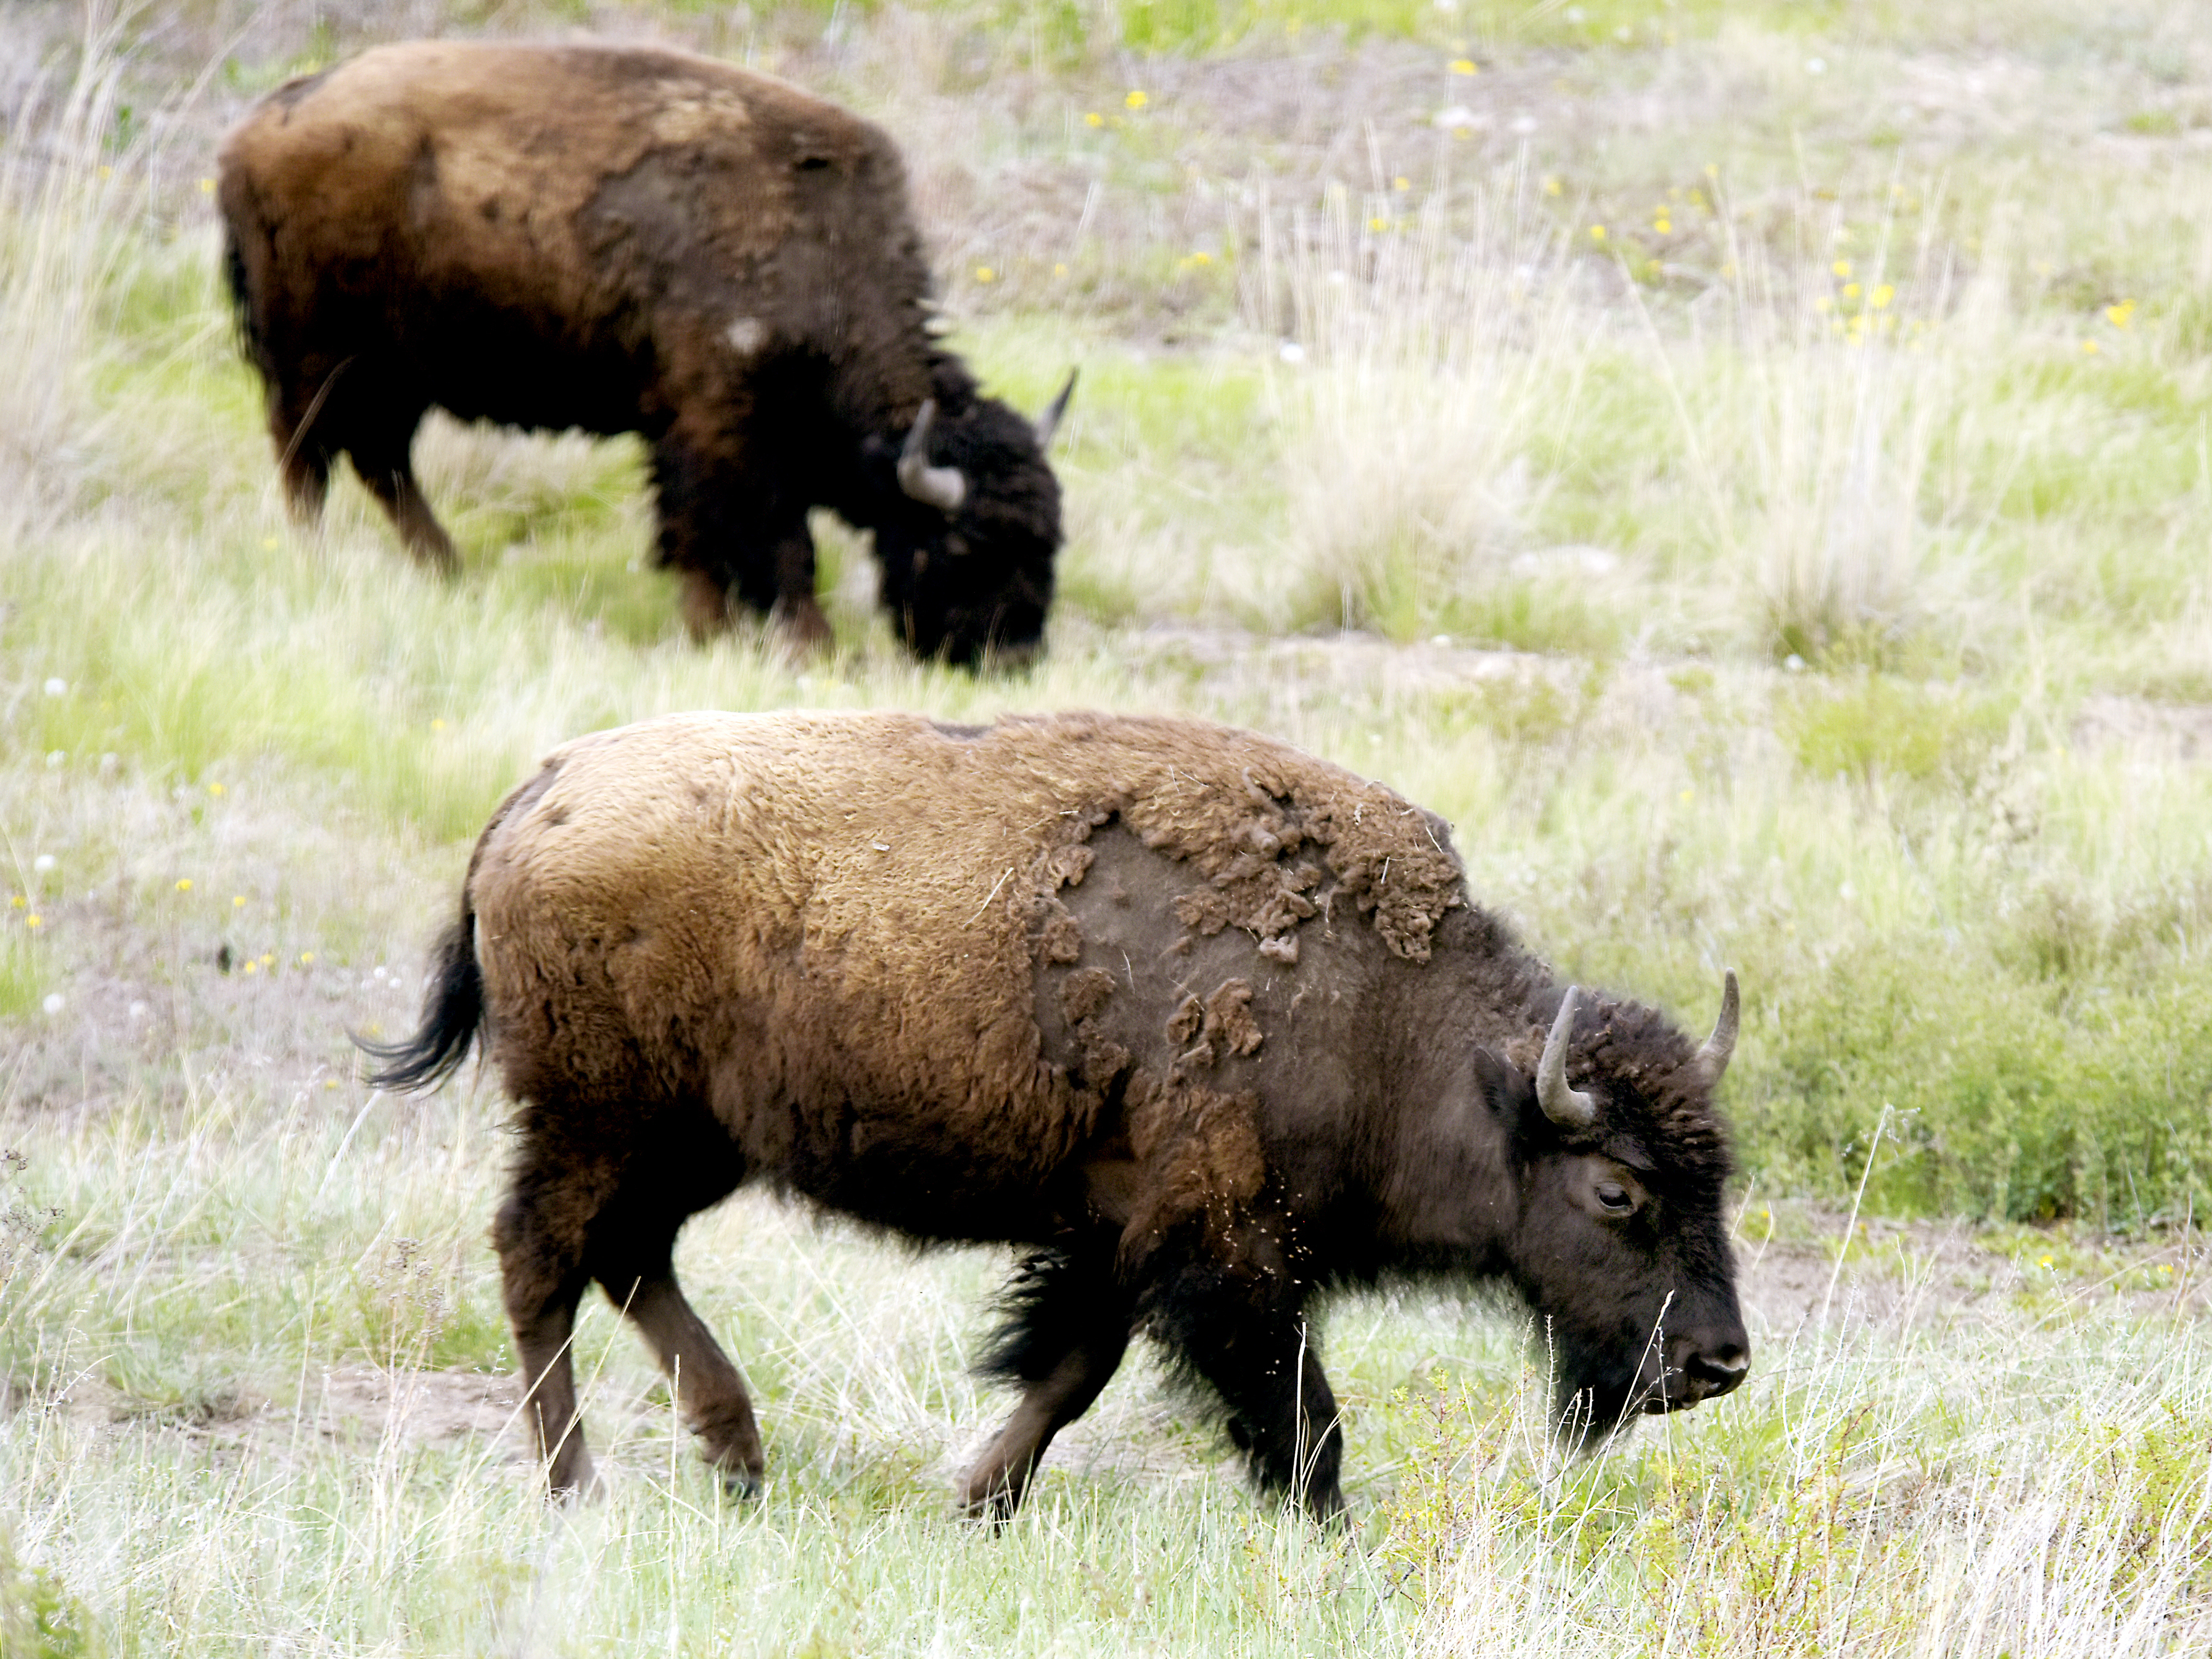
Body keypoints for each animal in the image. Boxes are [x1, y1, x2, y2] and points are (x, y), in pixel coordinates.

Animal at [218, 41, 1072, 666]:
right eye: (963, 542)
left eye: (1049, 539)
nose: (1010, 657)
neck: (826, 262)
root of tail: (264, 121)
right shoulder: (724, 428)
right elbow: (770, 543)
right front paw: (804, 646)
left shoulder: (687, 430)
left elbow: (696, 536)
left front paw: (712, 631)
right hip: (317, 357)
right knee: (308, 455)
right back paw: (315, 557)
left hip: (398, 370)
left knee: (379, 460)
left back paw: (451, 573)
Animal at [364, 710, 1748, 1518]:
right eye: (1616, 1190)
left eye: (1719, 1179)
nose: (1717, 1363)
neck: (1396, 1022)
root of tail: (542, 788)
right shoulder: (1225, 1245)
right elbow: (1298, 1414)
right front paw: (1326, 1533)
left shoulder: (1124, 1230)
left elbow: (1072, 1371)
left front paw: (979, 1498)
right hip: (600, 1121)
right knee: (542, 1258)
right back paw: (577, 1486)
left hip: (692, 1140)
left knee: (625, 1256)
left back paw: (737, 1457)